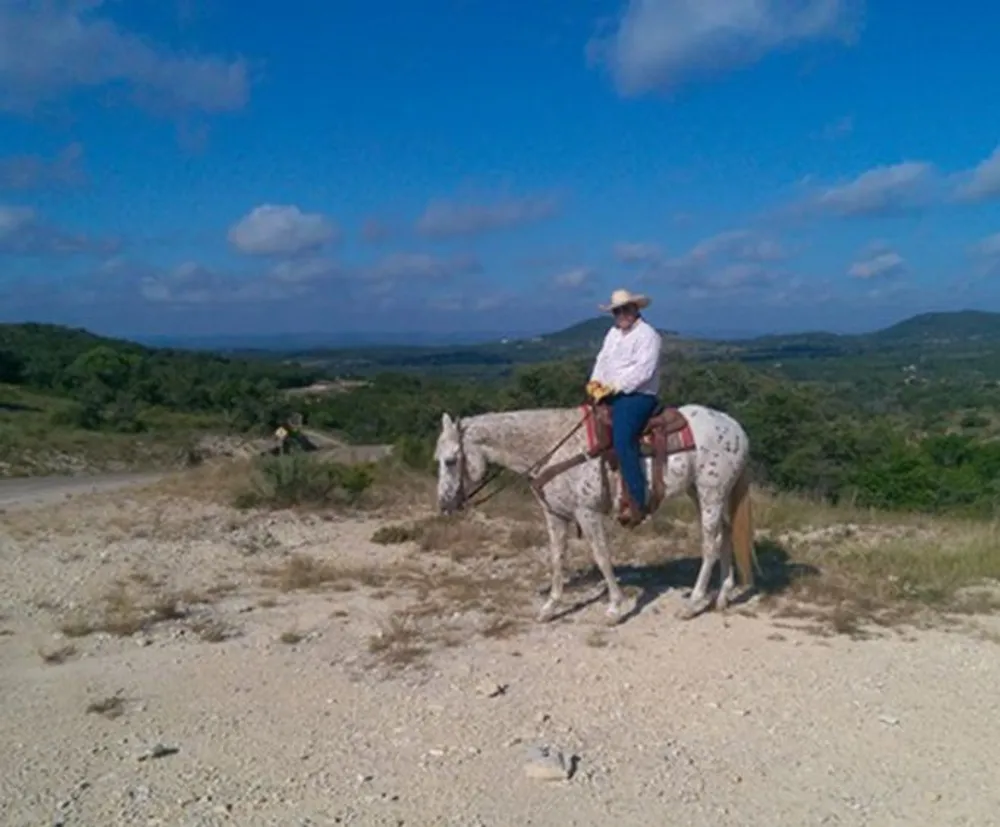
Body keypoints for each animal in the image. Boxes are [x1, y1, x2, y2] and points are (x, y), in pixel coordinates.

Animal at [433, 402, 755, 625]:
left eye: (450, 461)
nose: (445, 504)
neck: (554, 450)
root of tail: (735, 427)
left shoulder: (587, 513)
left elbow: (601, 557)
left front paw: (614, 608)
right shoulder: (555, 515)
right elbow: (557, 558)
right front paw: (550, 607)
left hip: (711, 492)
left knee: (711, 543)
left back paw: (694, 603)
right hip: (701, 492)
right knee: (725, 534)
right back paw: (723, 595)